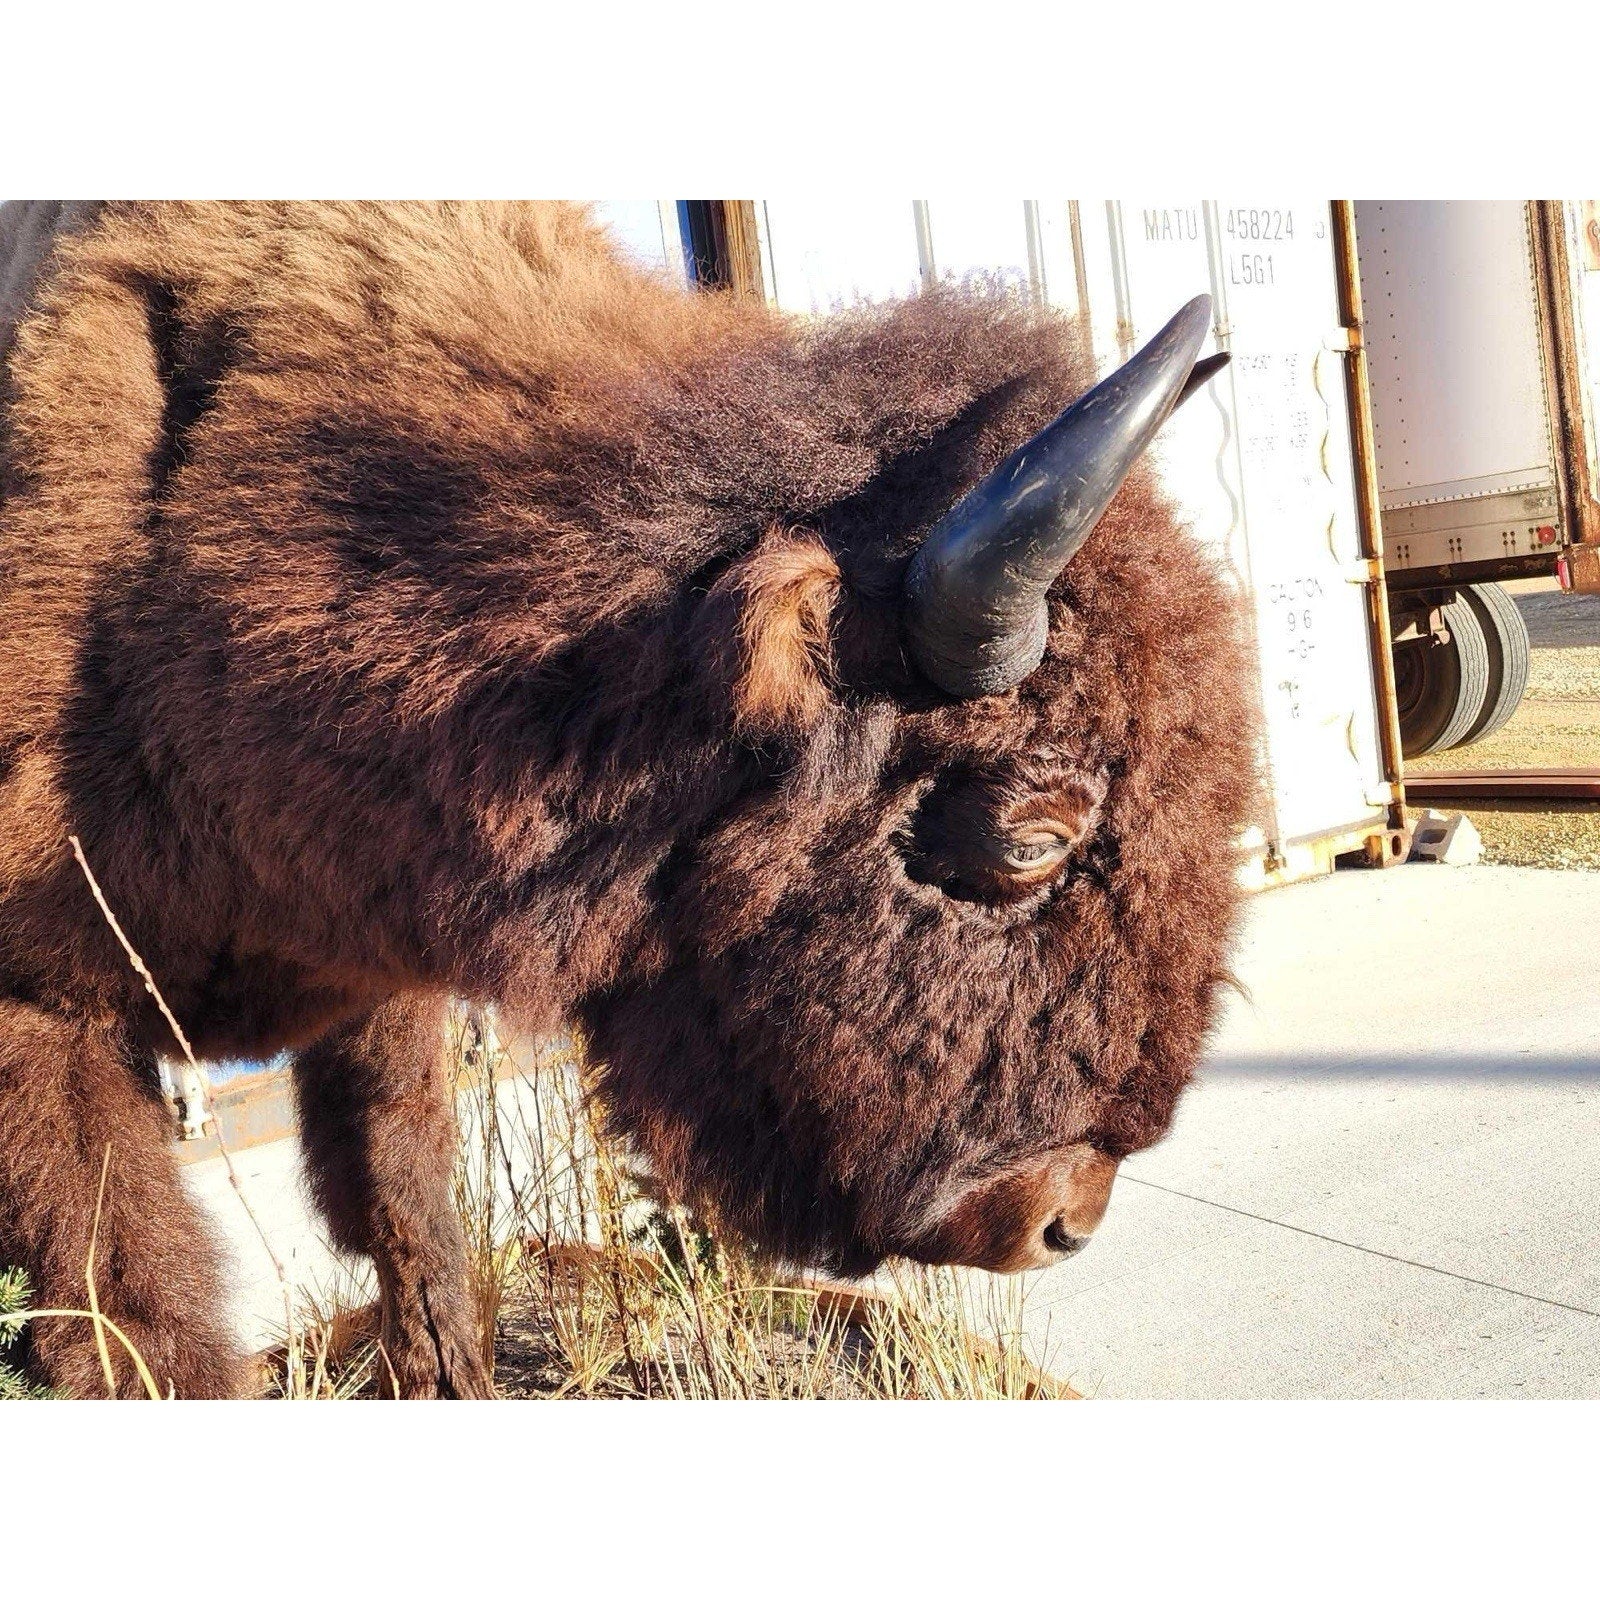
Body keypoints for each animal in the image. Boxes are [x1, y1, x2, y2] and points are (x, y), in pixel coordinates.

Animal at [0, 202, 1256, 1398]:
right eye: (1028, 840)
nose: (1064, 1219)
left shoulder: (376, 992)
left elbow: (405, 1202)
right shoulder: (47, 1013)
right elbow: (135, 1313)